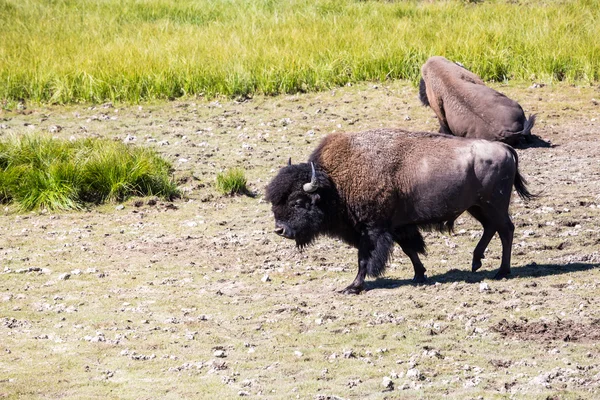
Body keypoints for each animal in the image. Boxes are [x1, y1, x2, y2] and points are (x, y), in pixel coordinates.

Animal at [264, 129, 532, 294]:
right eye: (275, 201)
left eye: (297, 202)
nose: (279, 229)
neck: (335, 184)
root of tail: (506, 149)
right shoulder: (399, 227)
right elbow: (410, 250)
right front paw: (419, 275)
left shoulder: (372, 230)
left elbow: (365, 259)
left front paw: (353, 287)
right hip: (477, 207)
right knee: (492, 228)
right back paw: (477, 262)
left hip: (493, 205)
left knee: (506, 230)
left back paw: (502, 271)